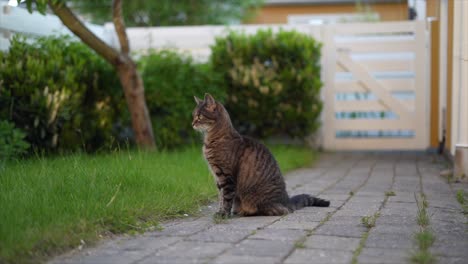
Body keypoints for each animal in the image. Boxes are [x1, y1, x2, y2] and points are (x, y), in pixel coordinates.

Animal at [190, 93, 330, 217]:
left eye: (199, 116)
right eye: (193, 116)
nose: (192, 123)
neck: (213, 139)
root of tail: (286, 200)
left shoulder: (227, 176)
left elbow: (227, 198)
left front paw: (224, 214)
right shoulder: (218, 177)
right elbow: (220, 197)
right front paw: (219, 212)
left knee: (280, 211)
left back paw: (245, 212)